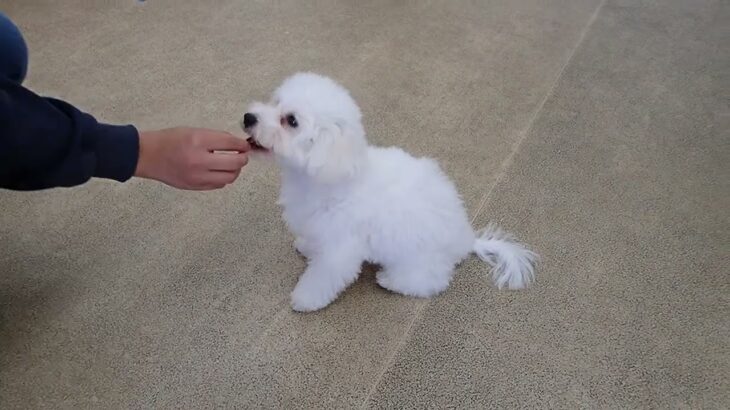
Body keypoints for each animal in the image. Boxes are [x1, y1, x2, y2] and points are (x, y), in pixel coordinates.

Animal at [243, 72, 536, 312]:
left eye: (291, 121)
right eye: (275, 101)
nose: (248, 117)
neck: (329, 176)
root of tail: (467, 240)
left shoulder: (340, 248)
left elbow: (323, 277)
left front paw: (304, 299)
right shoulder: (318, 226)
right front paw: (306, 246)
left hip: (417, 258)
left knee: (430, 281)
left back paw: (391, 280)